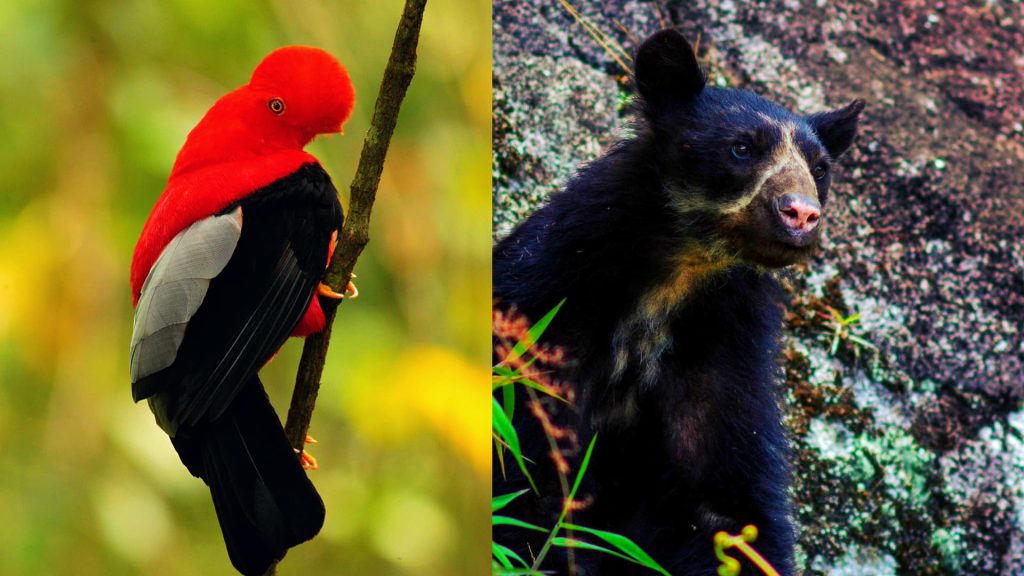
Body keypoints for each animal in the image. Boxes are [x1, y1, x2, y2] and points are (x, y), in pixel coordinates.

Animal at [492, 29, 864, 576]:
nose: (800, 214)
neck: (677, 275)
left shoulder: (721, 343)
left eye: (820, 169)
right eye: (740, 148)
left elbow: (724, 496)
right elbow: (526, 466)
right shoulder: (548, 300)